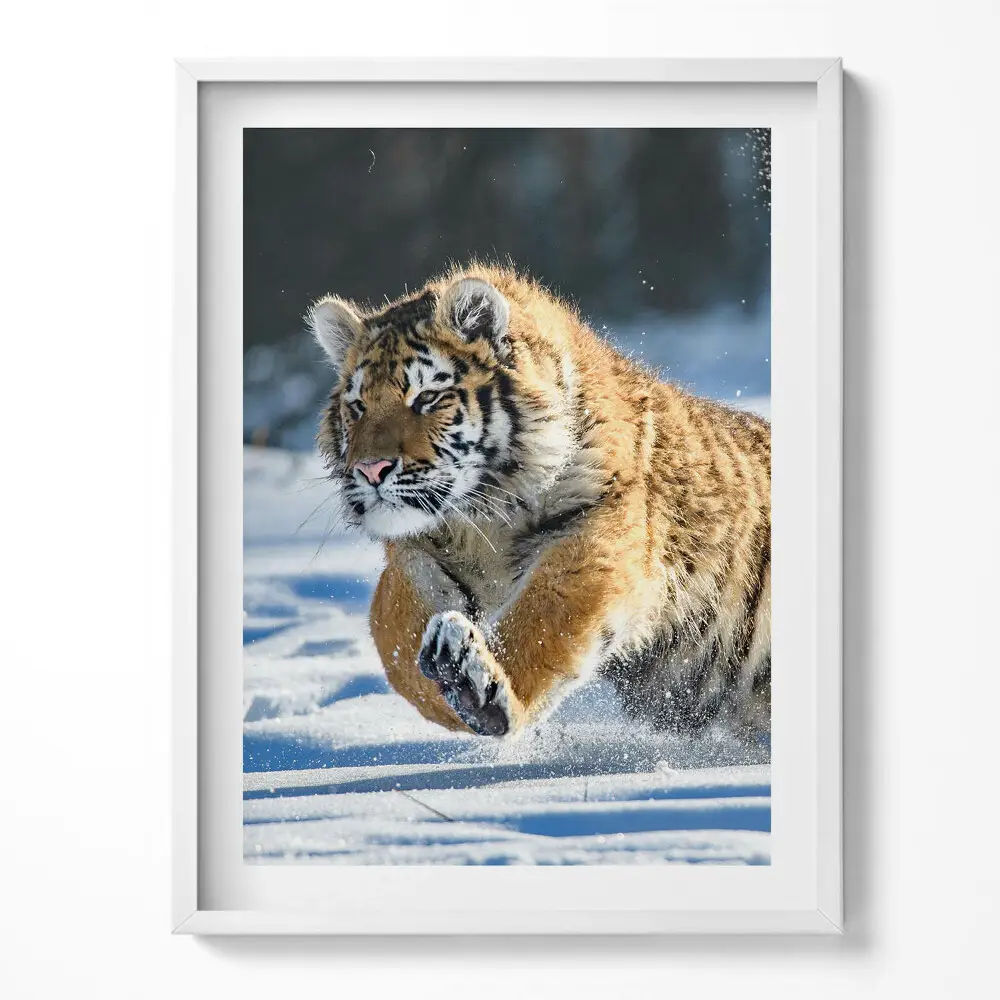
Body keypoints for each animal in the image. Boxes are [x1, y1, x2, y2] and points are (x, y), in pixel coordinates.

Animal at [308, 264, 770, 739]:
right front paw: (447, 688)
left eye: (428, 398)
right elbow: (393, 635)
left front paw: (480, 690)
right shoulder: (414, 553)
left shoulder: (597, 535)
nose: (370, 470)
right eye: (358, 406)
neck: (479, 517)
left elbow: (542, 623)